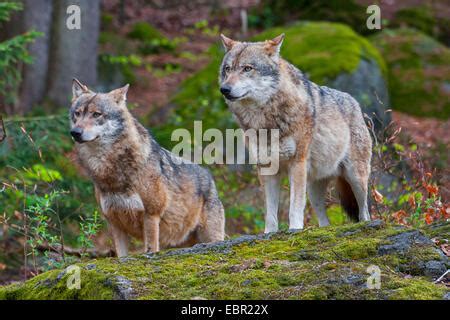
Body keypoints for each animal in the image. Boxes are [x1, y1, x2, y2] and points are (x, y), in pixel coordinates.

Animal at [70, 80, 225, 258]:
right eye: (77, 114)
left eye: (96, 114)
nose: (75, 132)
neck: (112, 173)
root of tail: (210, 178)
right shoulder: (114, 222)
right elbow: (121, 255)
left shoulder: (151, 215)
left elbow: (150, 249)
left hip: (210, 237)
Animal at [219, 33, 372, 231]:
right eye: (228, 69)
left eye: (247, 68)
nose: (224, 89)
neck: (265, 121)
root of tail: (355, 103)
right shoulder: (267, 169)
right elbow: (270, 212)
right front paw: (269, 233)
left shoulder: (297, 163)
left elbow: (295, 207)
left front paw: (294, 230)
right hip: (314, 189)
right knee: (324, 220)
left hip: (356, 178)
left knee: (364, 212)